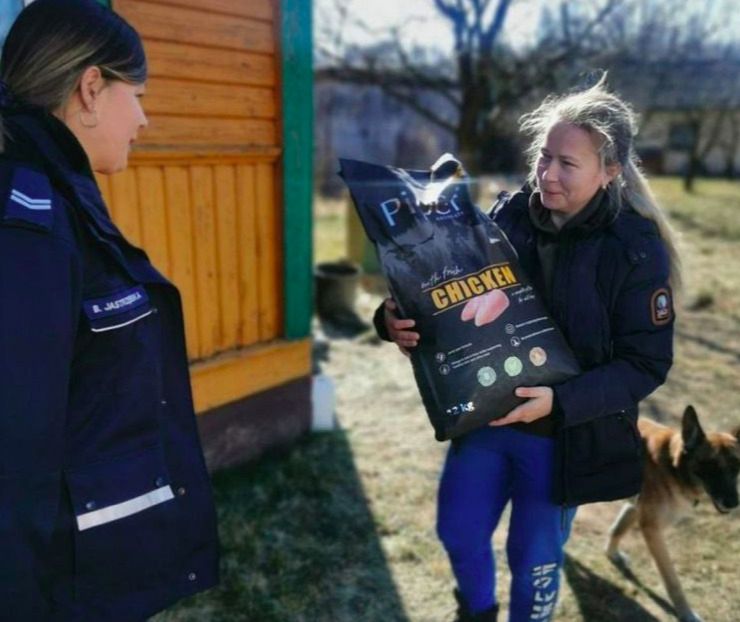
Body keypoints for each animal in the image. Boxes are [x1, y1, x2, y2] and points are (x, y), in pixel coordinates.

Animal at [604, 408, 736, 620]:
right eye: (711, 466)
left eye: (737, 466)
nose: (733, 502)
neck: (673, 466)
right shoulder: (652, 529)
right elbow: (673, 581)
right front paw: (686, 614)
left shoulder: (637, 509)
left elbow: (617, 529)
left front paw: (612, 554)